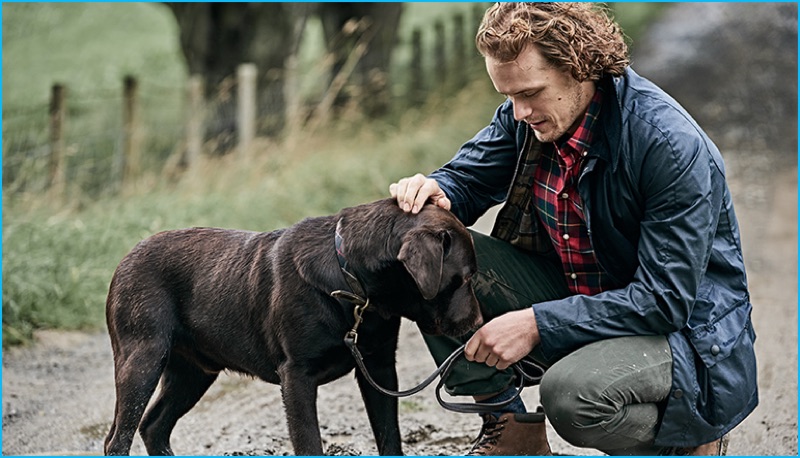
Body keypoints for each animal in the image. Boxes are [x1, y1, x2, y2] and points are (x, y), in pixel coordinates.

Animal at [104, 199, 484, 456]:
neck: (352, 281)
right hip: (142, 360)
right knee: (119, 437)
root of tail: (123, 259)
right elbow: (309, 442)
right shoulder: (297, 377)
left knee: (154, 426)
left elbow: (389, 436)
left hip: (193, 372)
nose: (479, 323)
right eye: (465, 278)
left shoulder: (378, 367)